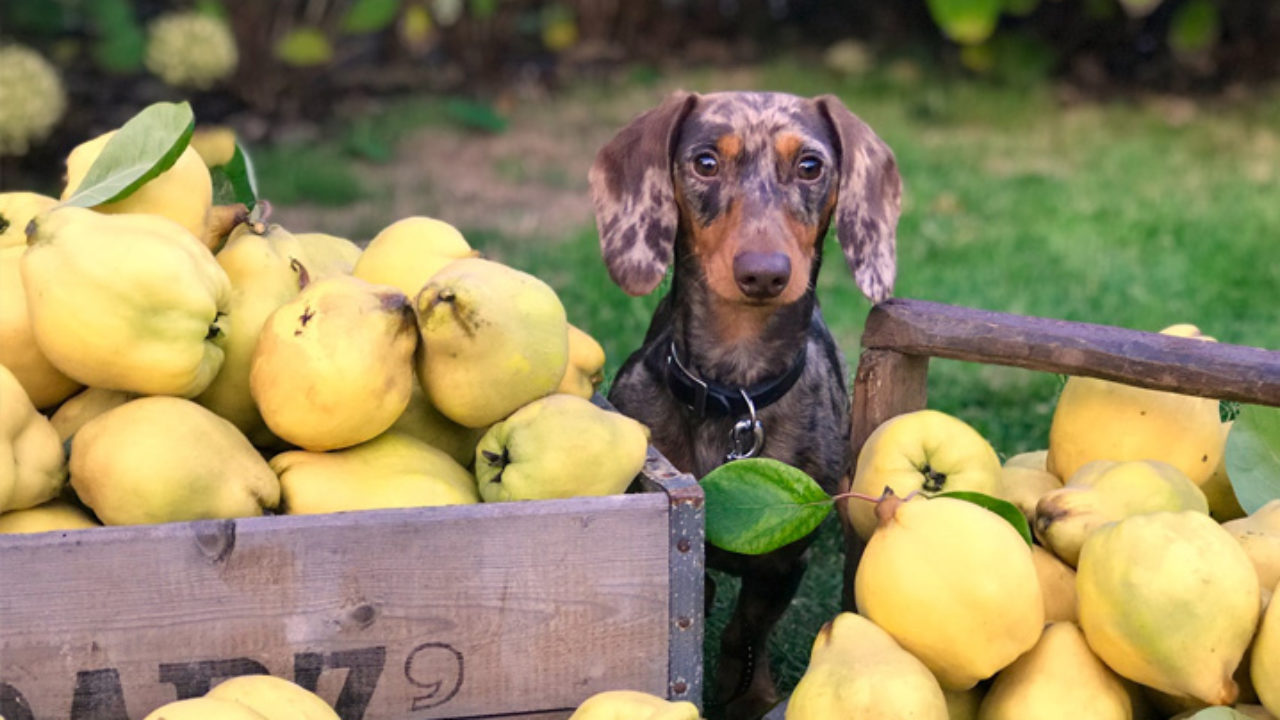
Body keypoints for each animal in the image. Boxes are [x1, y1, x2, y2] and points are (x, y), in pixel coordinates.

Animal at [586, 92, 901, 712]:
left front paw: (750, 694)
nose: (764, 273)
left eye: (810, 165)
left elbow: (746, 630)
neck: (735, 394)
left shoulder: (784, 560)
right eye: (705, 162)